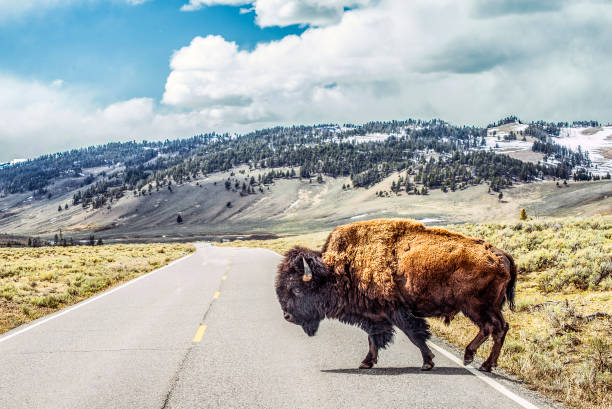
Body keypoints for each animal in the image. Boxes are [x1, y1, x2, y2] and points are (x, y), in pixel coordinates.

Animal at [278, 218, 516, 372]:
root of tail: (500, 254)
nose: (287, 317)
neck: (341, 268)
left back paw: (478, 362)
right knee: (499, 328)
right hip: (488, 307)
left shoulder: (396, 311)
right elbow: (373, 338)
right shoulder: (374, 315)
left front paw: (427, 362)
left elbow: (414, 334)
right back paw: (481, 362)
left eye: (296, 289)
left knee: (492, 328)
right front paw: (366, 363)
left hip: (476, 307)